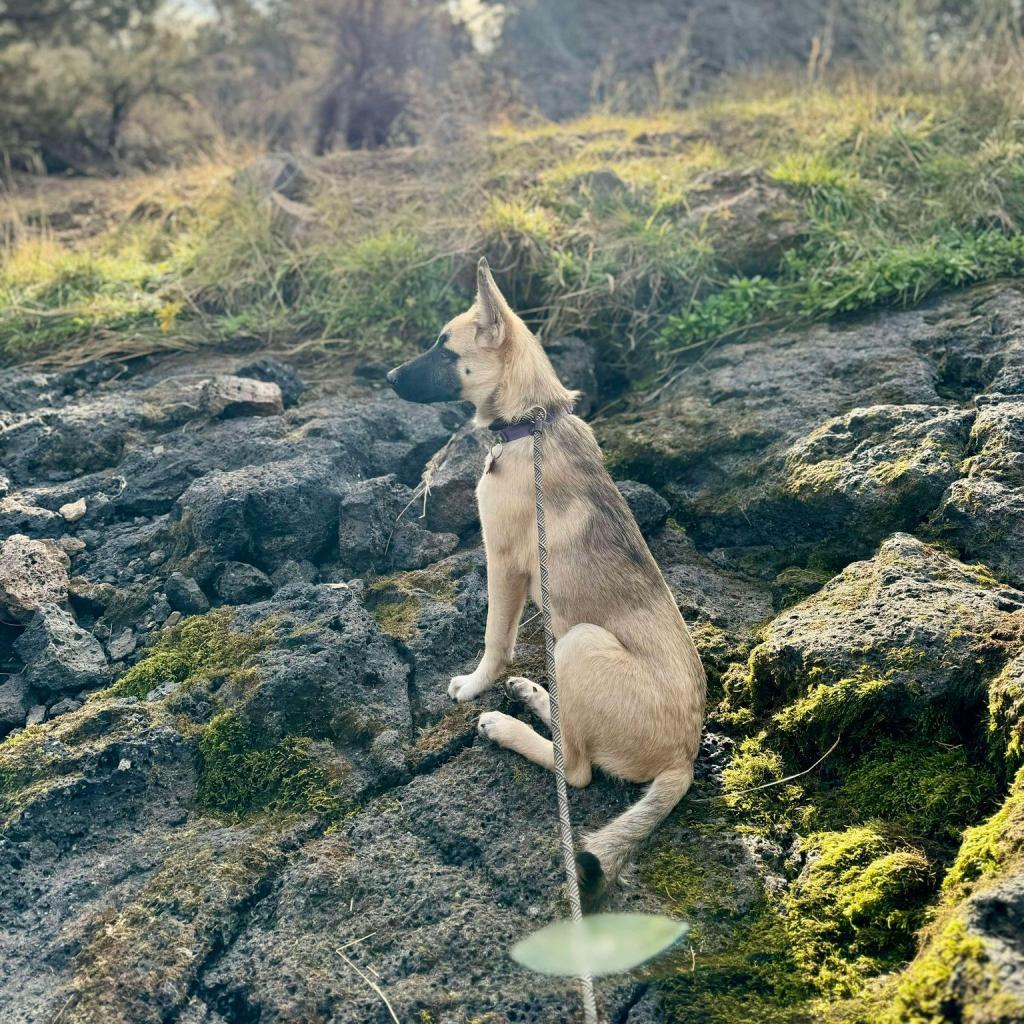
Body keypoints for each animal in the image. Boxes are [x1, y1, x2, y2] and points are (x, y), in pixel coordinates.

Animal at [387, 258, 708, 905]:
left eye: (444, 348)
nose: (386, 377)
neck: (530, 423)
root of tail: (683, 759)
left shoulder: (503, 563)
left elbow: (495, 639)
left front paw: (476, 686)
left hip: (581, 640)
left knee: (576, 770)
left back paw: (506, 726)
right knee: (567, 734)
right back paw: (535, 696)